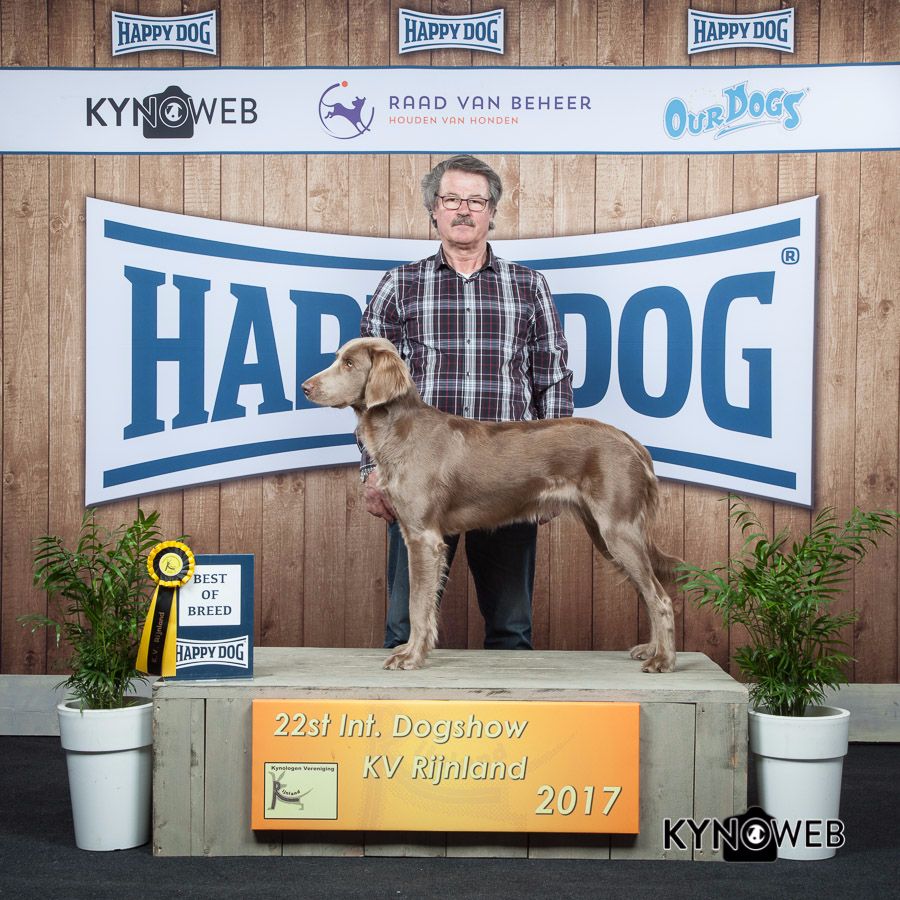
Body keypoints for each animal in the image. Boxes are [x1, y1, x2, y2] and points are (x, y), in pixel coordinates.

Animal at [298, 340, 680, 676]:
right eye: (338, 359)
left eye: (350, 364)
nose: (305, 387)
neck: (400, 431)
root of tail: (630, 441)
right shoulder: (414, 534)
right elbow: (424, 603)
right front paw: (413, 650)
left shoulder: (424, 537)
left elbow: (418, 603)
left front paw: (410, 656)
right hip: (605, 533)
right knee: (648, 590)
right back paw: (651, 649)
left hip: (617, 528)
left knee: (660, 598)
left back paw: (663, 660)